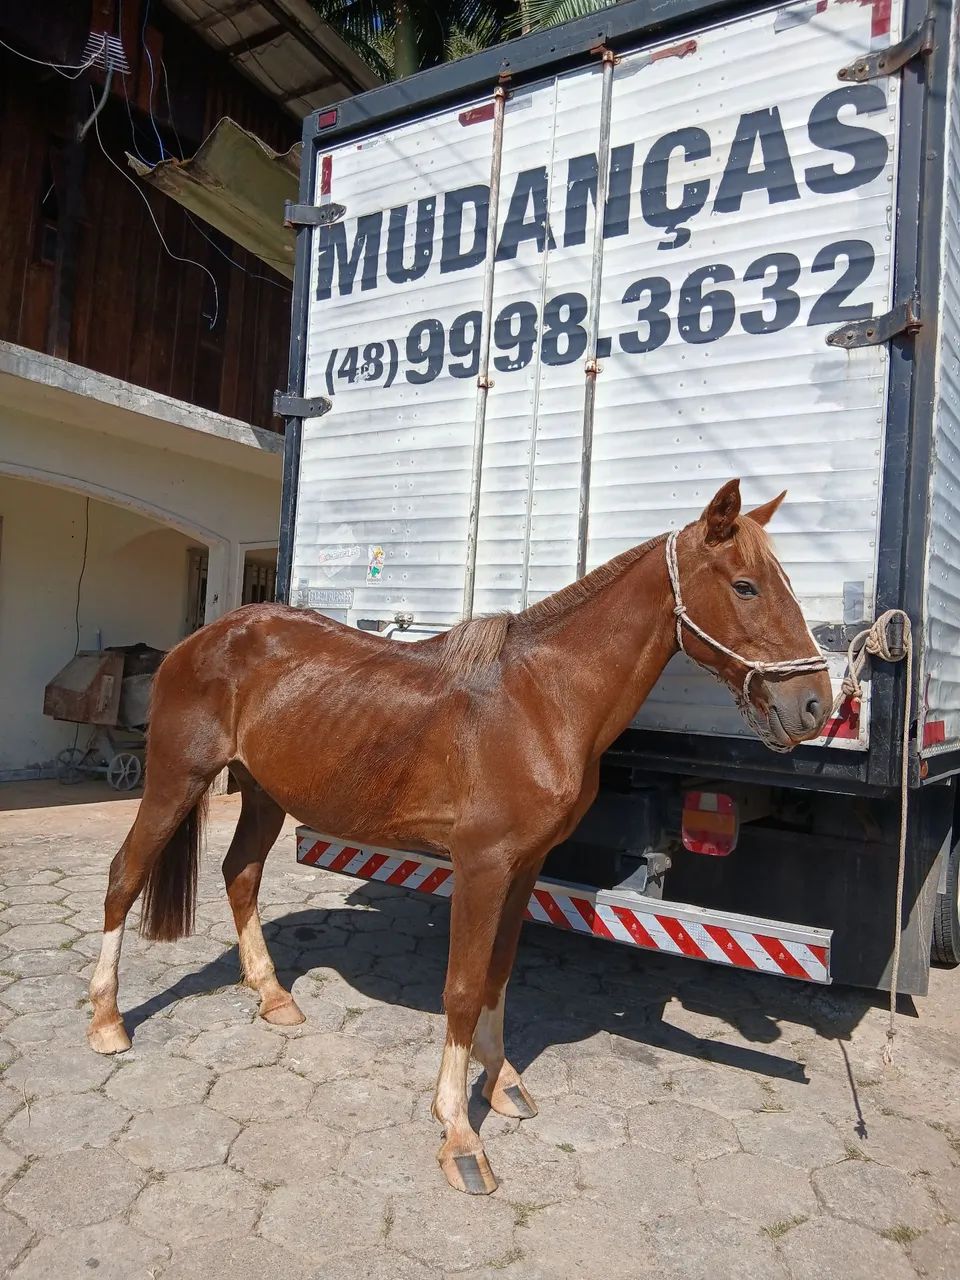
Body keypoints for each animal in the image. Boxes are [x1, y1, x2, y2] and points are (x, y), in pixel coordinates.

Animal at [86, 478, 831, 1195]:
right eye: (746, 586)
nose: (817, 705)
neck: (541, 701)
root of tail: (206, 637)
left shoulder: (525, 867)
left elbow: (499, 974)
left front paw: (501, 1085)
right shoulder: (481, 866)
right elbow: (465, 988)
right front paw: (458, 1134)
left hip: (264, 795)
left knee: (239, 874)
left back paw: (273, 997)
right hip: (176, 780)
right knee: (125, 874)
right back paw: (107, 1022)